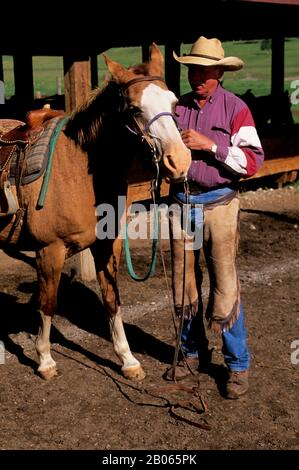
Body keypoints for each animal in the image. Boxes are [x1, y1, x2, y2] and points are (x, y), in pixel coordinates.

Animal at [0, 44, 191, 382]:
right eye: (134, 109)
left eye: (174, 103)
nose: (179, 161)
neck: (76, 172)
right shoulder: (49, 251)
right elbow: (48, 304)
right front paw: (45, 360)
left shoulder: (106, 245)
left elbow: (112, 300)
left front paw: (128, 360)